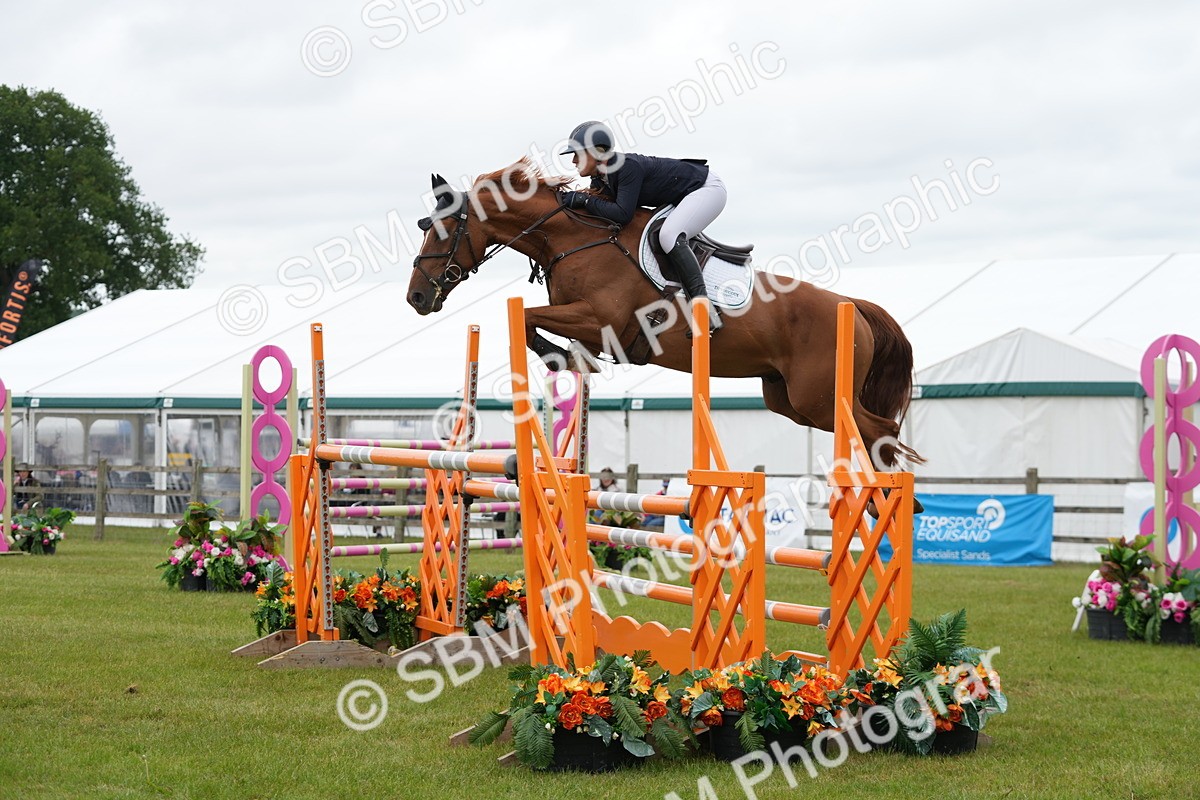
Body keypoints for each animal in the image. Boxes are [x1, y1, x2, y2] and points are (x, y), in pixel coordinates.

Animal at [406, 159, 923, 468]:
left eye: (442, 229)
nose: (416, 297)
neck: (575, 239)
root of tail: (855, 308)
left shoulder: (602, 322)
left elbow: (530, 317)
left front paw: (561, 358)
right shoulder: (584, 322)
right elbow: (534, 321)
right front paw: (566, 359)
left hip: (818, 397)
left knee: (880, 429)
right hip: (789, 400)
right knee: (871, 430)